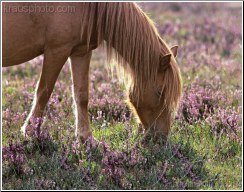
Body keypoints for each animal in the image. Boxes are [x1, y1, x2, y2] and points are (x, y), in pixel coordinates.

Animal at [1, 1, 181, 142]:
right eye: (160, 92)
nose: (162, 137)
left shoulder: (81, 52)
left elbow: (81, 95)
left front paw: (85, 138)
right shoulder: (57, 50)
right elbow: (44, 92)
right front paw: (31, 131)